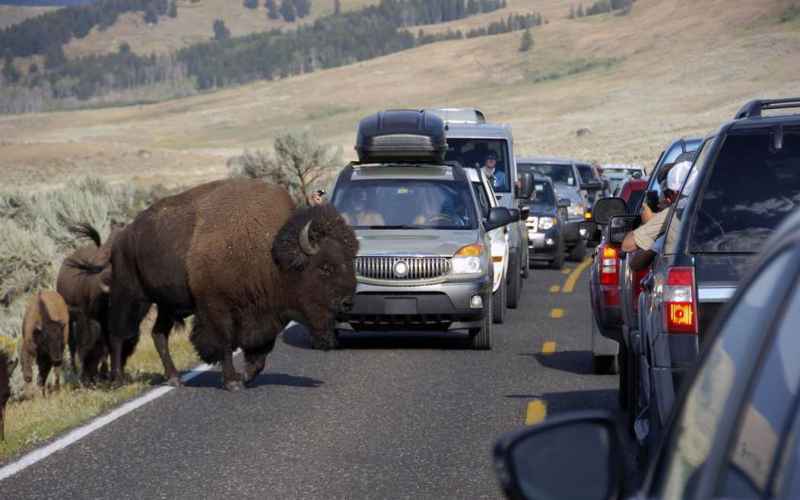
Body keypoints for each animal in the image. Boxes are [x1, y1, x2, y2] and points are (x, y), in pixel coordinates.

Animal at [101, 179, 358, 390]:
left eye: (350, 261)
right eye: (325, 267)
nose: (348, 302)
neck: (270, 254)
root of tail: (122, 236)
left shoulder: (266, 316)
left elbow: (260, 352)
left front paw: (246, 377)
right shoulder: (216, 309)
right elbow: (225, 342)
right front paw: (232, 381)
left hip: (167, 305)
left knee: (158, 334)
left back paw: (174, 378)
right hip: (132, 296)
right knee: (117, 333)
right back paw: (117, 381)